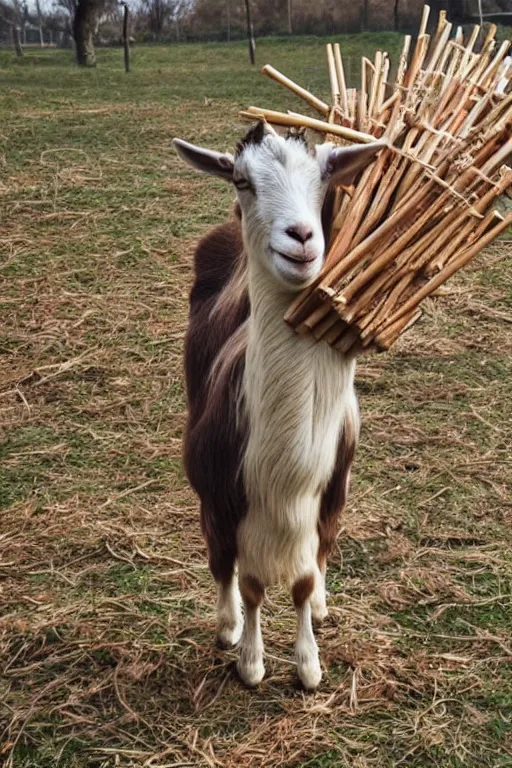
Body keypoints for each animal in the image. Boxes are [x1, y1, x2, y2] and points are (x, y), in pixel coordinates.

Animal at [173, 124, 384, 688]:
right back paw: (226, 626)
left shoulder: (326, 491)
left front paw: (308, 663)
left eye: (326, 175)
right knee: (219, 559)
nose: (301, 237)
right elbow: (246, 580)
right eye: (242, 179)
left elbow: (305, 580)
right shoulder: (223, 493)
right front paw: (249, 660)